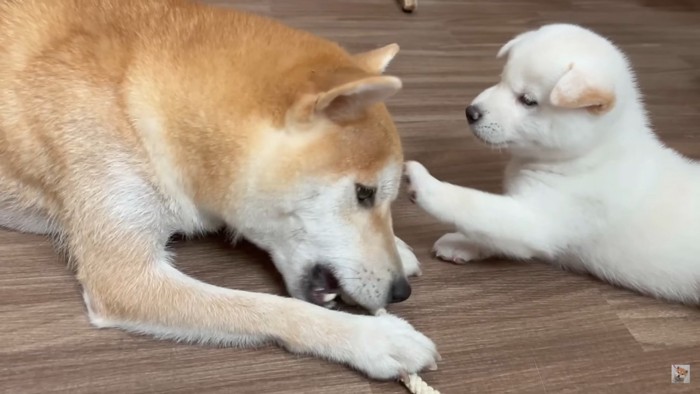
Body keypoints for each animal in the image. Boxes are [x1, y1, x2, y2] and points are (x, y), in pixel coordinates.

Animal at [404, 23, 700, 304]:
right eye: (500, 80)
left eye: (528, 100)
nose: (470, 112)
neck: (589, 154)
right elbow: (490, 230)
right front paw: (461, 243)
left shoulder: (540, 217)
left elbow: (475, 205)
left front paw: (424, 183)